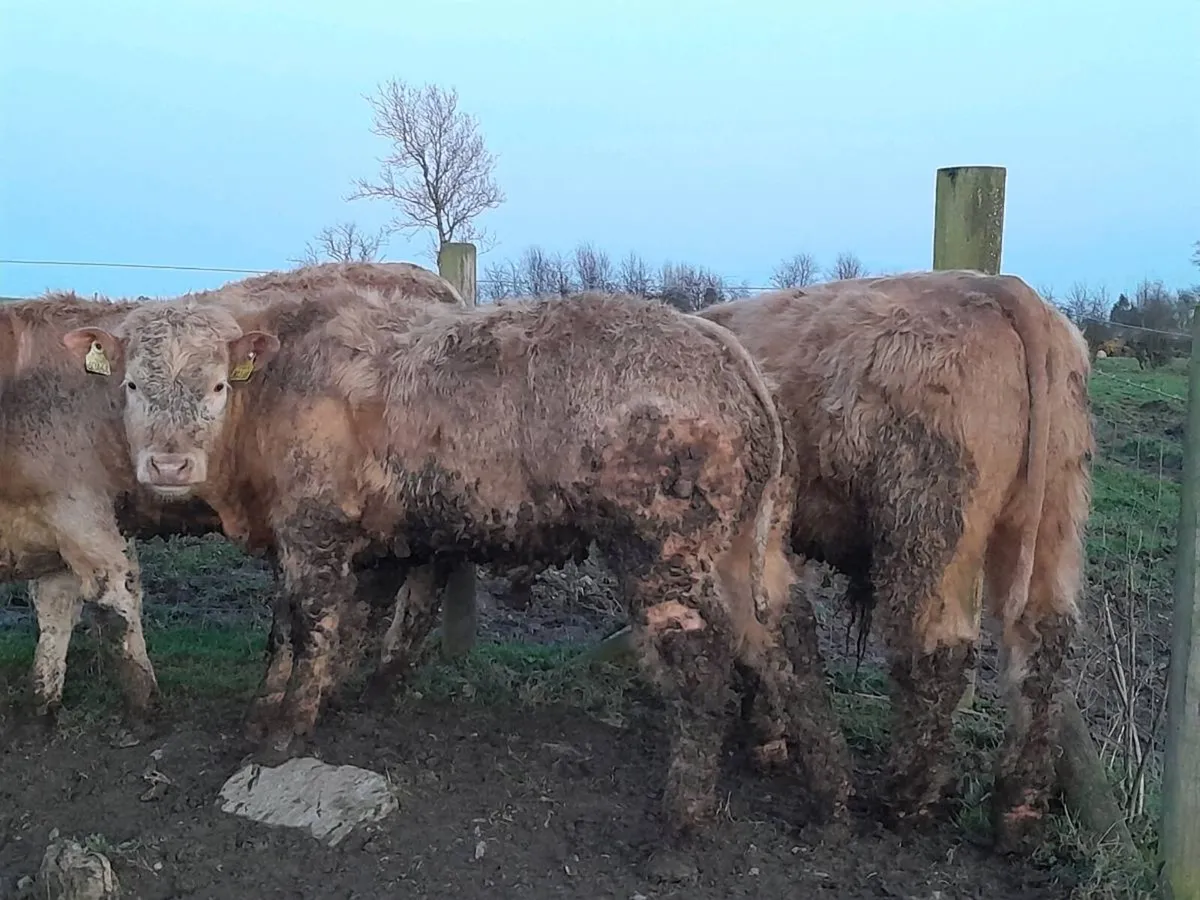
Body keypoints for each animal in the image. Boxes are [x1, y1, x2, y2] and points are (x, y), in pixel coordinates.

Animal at [0, 262, 463, 725]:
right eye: (130, 385)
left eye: (219, 386)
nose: (169, 465)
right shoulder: (49, 531)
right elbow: (54, 615)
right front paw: (41, 705)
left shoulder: (83, 517)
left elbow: (114, 608)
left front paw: (146, 709)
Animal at [63, 285, 854, 856]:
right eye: (131, 386)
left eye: (217, 386)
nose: (168, 463)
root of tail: (723, 347)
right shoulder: (370, 543)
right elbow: (325, 625)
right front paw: (292, 707)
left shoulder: (314, 532)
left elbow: (310, 625)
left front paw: (285, 733)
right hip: (754, 547)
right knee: (789, 643)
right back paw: (830, 798)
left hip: (664, 550)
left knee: (701, 664)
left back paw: (681, 827)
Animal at [695, 269, 1094, 853]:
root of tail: (1002, 288)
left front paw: (766, 738)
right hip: (1055, 517)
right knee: (1042, 646)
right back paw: (1017, 809)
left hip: (927, 524)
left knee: (934, 653)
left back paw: (908, 799)